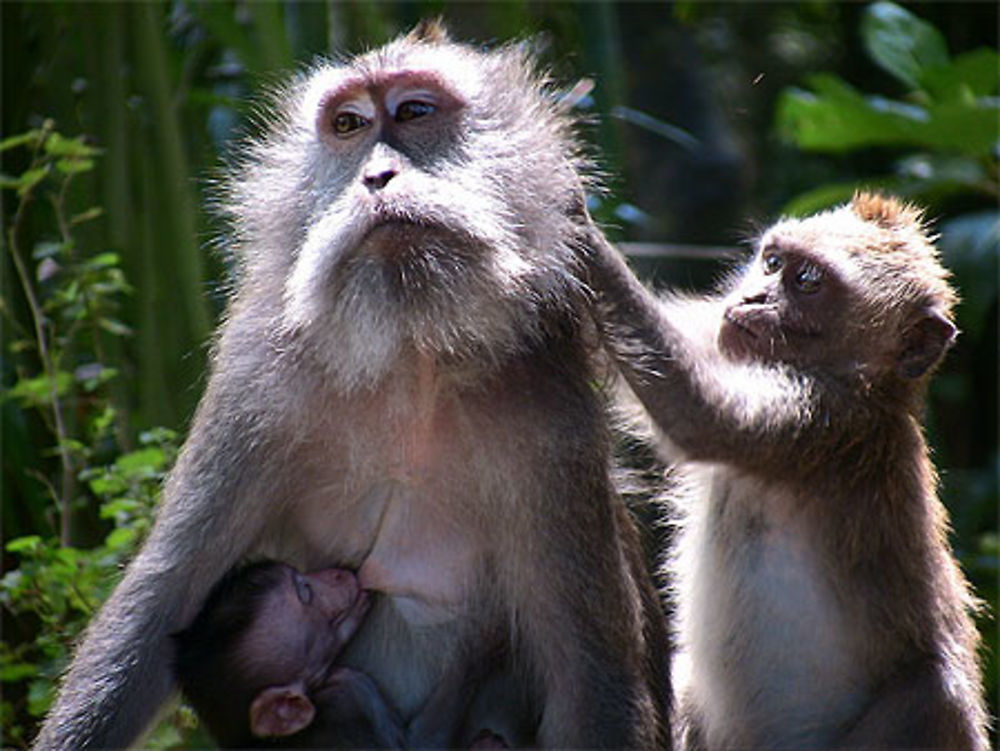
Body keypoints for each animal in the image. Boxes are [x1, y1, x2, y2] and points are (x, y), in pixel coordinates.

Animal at [576, 191, 988, 748]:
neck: (868, 388)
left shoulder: (821, 420)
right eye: (771, 263)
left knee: (935, 694)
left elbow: (700, 412)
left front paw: (571, 215)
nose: (751, 297)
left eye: (807, 280)